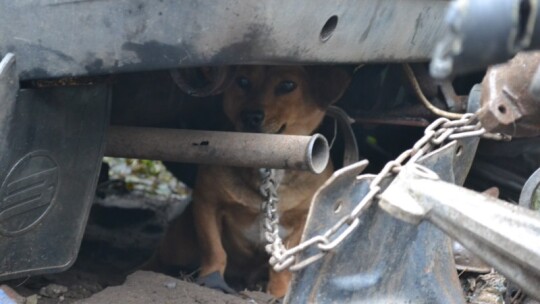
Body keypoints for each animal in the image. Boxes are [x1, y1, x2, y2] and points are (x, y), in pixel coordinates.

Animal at [146, 66, 350, 296]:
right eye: (242, 81)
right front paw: (212, 279)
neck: (269, 171)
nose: (251, 115)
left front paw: (278, 293)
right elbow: (215, 250)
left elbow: (281, 265)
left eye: (288, 85)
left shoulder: (303, 219)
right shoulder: (207, 203)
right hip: (178, 245)